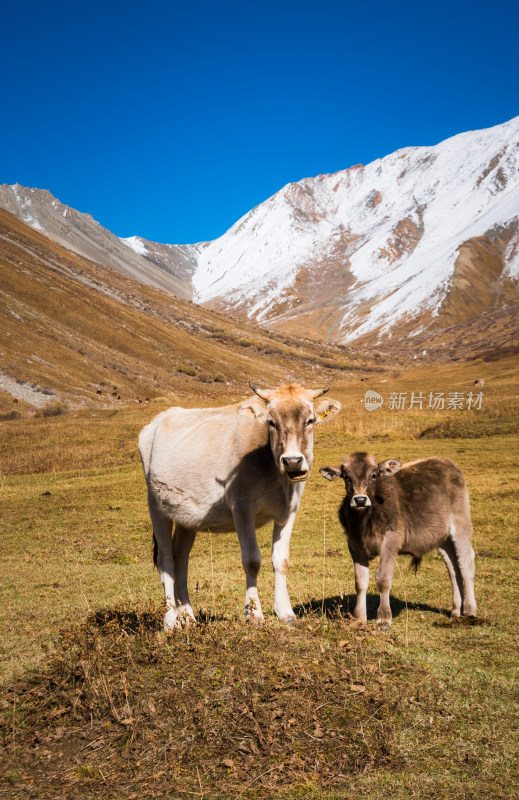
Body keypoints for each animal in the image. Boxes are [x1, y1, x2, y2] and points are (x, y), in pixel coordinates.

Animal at [138, 384, 344, 628]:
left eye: (310, 420)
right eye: (271, 422)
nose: (293, 461)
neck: (276, 476)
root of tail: (157, 421)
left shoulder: (290, 510)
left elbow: (281, 560)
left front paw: (285, 612)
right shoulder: (241, 507)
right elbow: (252, 560)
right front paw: (254, 614)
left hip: (185, 517)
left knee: (180, 559)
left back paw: (187, 616)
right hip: (156, 506)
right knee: (166, 561)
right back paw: (171, 621)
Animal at [320, 454, 480, 628]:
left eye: (373, 475)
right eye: (346, 477)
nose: (360, 499)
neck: (365, 522)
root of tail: (443, 461)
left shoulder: (391, 541)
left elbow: (383, 579)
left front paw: (384, 619)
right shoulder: (354, 545)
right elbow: (360, 582)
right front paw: (359, 618)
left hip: (461, 525)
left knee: (465, 564)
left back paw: (469, 611)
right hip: (442, 539)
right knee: (453, 568)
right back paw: (456, 612)